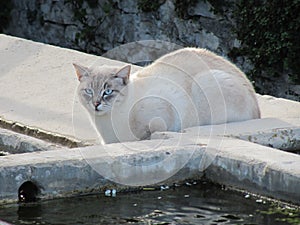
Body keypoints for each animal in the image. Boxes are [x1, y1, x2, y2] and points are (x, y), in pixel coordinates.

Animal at [73, 47, 260, 143]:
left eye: (108, 92)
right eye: (89, 91)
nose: (96, 104)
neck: (107, 123)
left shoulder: (163, 109)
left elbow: (151, 131)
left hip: (207, 83)